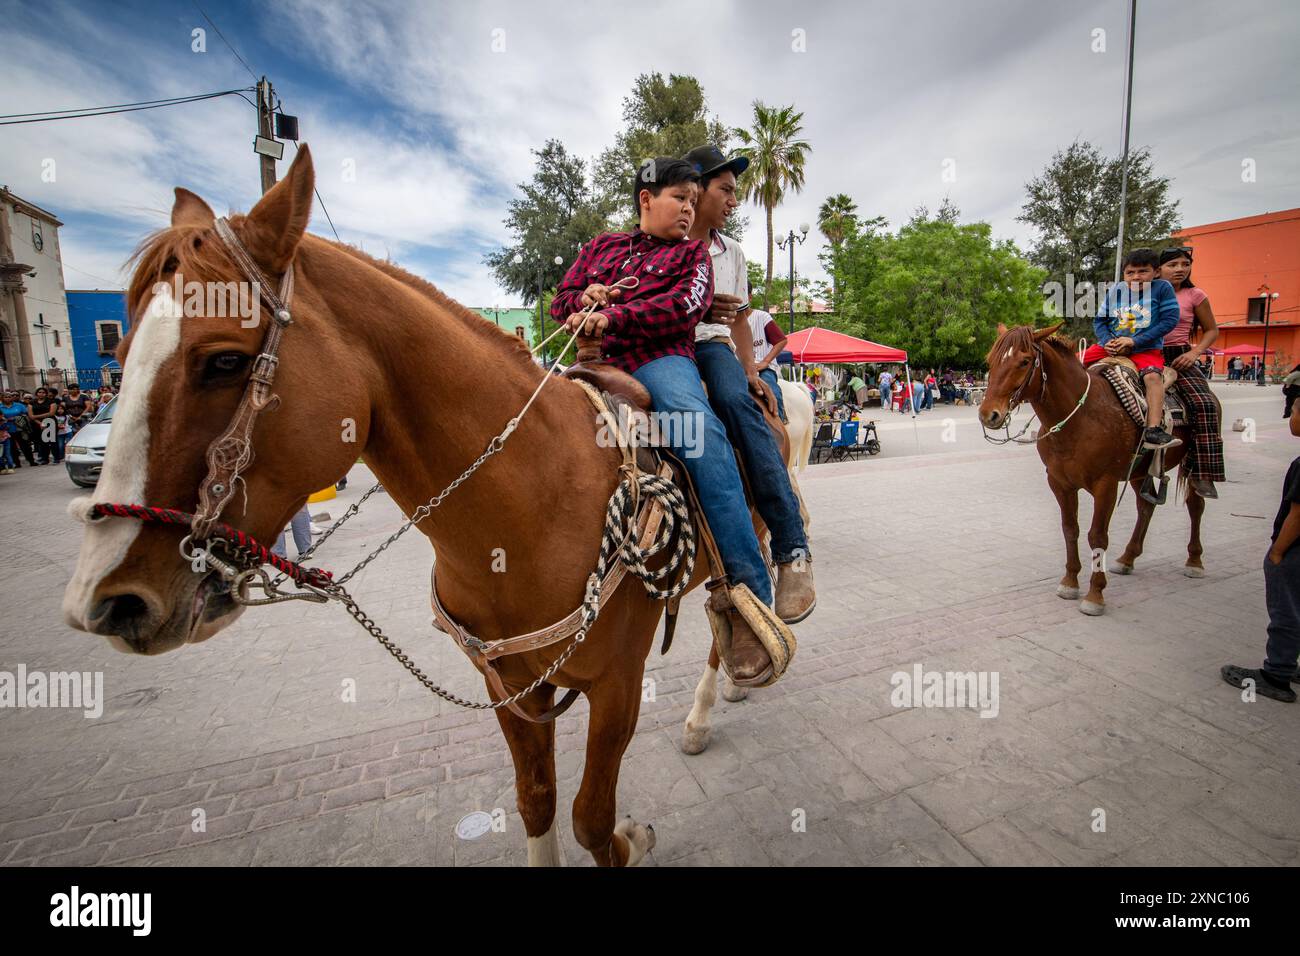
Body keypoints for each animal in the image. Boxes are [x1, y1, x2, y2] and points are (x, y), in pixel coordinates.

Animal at [58, 147, 769, 868]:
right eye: (119, 356)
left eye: (224, 360)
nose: (106, 602)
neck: (534, 504)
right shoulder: (508, 685)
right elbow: (537, 802)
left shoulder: (618, 683)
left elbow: (594, 820)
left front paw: (633, 832)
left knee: (736, 596)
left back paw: (726, 680)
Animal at [982, 325, 1206, 616]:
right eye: (990, 361)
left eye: (1024, 361)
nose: (988, 414)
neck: (1078, 418)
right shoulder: (1059, 483)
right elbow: (1070, 529)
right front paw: (1069, 582)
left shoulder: (1105, 485)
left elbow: (1097, 535)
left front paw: (1095, 594)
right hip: (1138, 472)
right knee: (1145, 507)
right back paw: (1128, 558)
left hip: (1196, 460)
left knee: (1195, 506)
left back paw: (1194, 561)